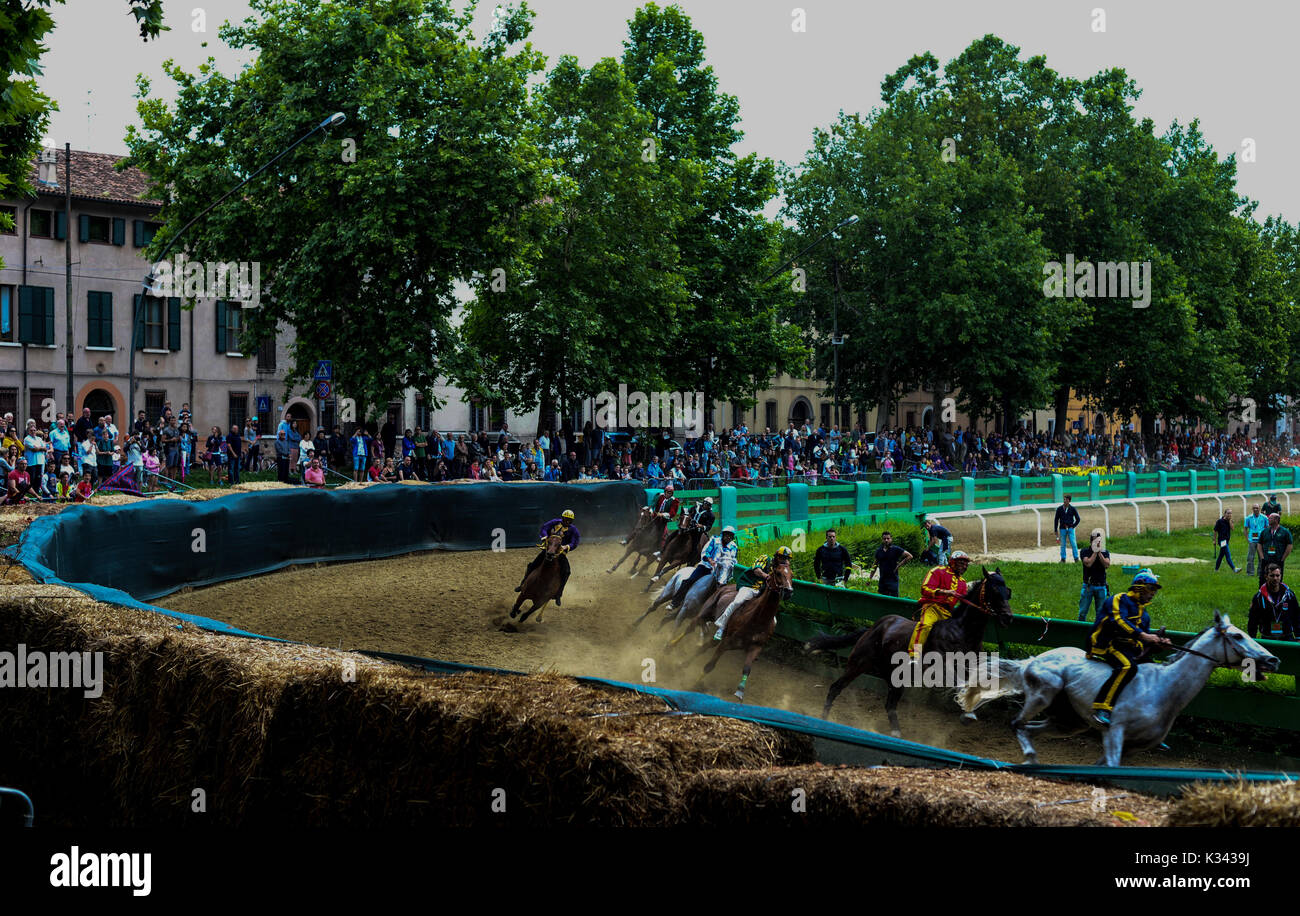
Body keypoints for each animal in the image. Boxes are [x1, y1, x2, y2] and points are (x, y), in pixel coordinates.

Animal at [702, 556, 790, 701]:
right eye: (778, 573)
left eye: (791, 575)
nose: (789, 591)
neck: (758, 621)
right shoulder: (726, 642)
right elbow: (709, 666)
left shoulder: (755, 647)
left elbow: (747, 669)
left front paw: (740, 691)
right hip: (707, 612)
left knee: (706, 645)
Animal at [800, 563, 1013, 737]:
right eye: (995, 589)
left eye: (1008, 591)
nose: (1008, 618)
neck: (962, 631)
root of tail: (873, 627)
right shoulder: (944, 669)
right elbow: (960, 684)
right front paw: (967, 713)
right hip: (858, 664)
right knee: (835, 688)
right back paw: (824, 718)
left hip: (895, 678)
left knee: (890, 705)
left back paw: (896, 733)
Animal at [961, 610, 1284, 769]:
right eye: (1237, 636)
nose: (1273, 660)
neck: (1163, 689)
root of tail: (1033, 659)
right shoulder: (1114, 733)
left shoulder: (1133, 747)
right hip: (1044, 693)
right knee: (1016, 723)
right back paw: (1027, 754)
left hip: (1068, 723)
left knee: (1029, 729)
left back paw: (1031, 758)